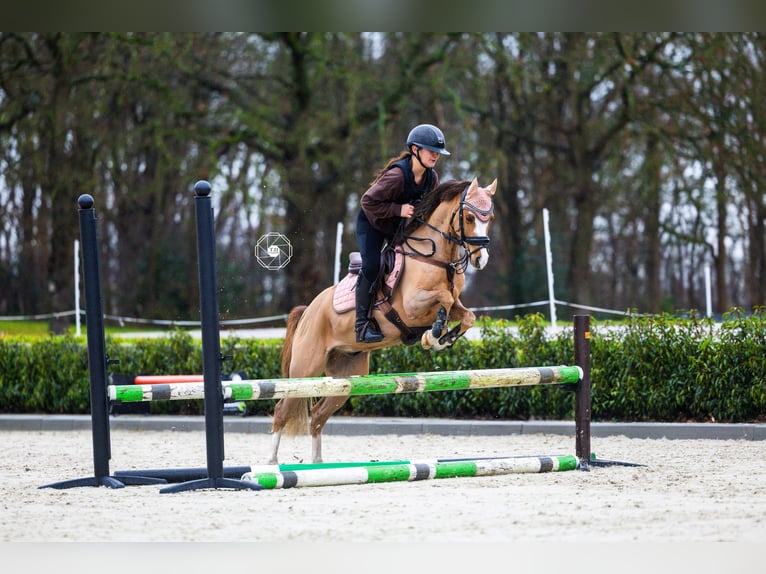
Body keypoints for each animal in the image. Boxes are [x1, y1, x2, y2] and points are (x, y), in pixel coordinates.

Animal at [269, 177, 498, 463]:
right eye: (468, 217)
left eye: (490, 218)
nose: (481, 259)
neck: (434, 256)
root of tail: (308, 310)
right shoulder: (412, 305)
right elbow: (443, 298)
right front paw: (431, 336)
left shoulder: (456, 305)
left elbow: (467, 315)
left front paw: (443, 339)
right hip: (305, 370)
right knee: (282, 410)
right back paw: (272, 464)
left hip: (346, 375)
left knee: (319, 415)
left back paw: (317, 465)